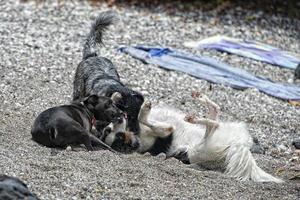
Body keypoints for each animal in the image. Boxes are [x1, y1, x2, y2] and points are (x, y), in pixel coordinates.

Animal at [103, 95, 284, 183]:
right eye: (118, 137)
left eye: (111, 128)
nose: (119, 118)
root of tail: (239, 145)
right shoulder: (163, 133)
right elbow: (154, 124)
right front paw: (146, 111)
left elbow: (144, 117)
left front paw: (144, 108)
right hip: (200, 148)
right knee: (213, 126)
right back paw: (195, 118)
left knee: (216, 113)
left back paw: (203, 102)